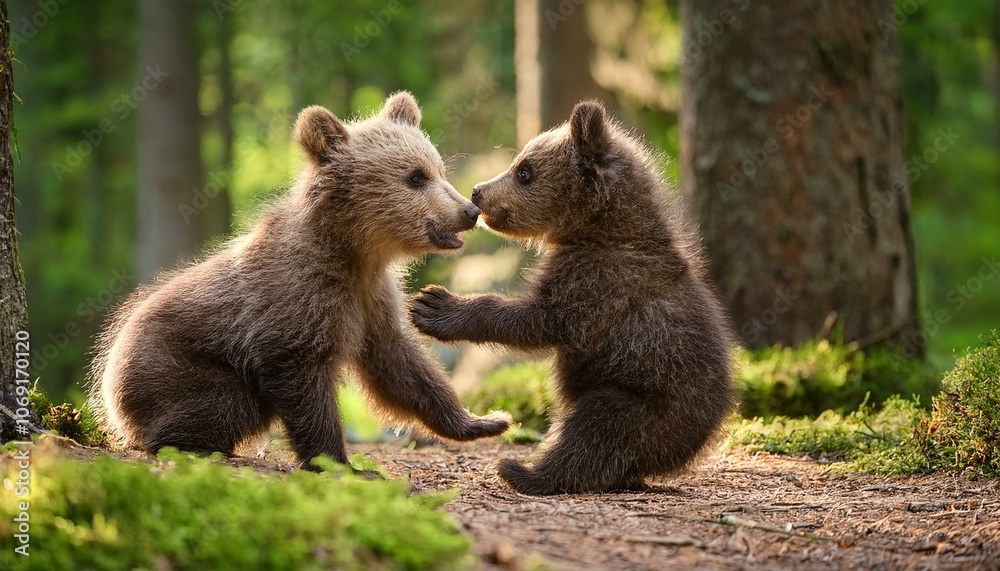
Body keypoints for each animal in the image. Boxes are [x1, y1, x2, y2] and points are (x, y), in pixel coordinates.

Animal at [89, 92, 512, 469]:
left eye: (439, 169)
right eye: (415, 177)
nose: (469, 210)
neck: (352, 252)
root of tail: (107, 376)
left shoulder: (371, 297)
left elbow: (400, 365)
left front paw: (485, 421)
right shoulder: (297, 302)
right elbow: (304, 381)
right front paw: (339, 462)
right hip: (174, 369)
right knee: (229, 403)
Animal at [409, 100, 735, 494]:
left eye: (525, 171)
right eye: (520, 163)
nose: (477, 190)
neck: (600, 230)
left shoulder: (598, 282)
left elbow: (543, 319)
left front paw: (433, 305)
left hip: (646, 399)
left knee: (596, 430)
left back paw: (524, 471)